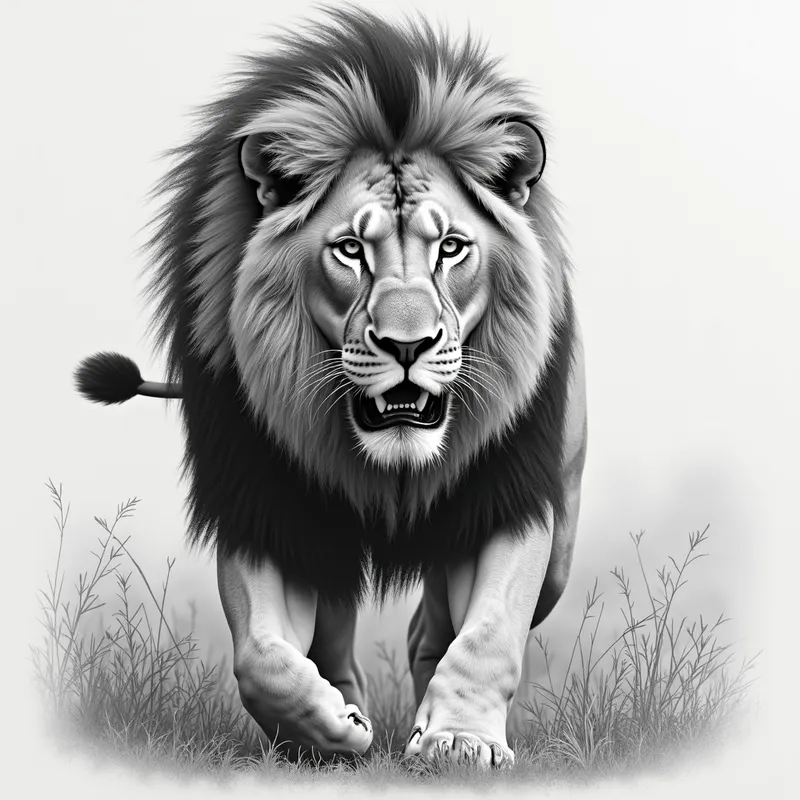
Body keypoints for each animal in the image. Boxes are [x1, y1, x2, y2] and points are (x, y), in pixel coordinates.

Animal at [75, 8, 587, 768]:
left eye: (451, 248)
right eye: (350, 250)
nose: (407, 346)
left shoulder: (505, 494)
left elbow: (491, 633)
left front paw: (460, 741)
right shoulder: (266, 500)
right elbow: (263, 655)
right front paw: (328, 729)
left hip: (557, 542)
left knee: (437, 627)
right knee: (339, 624)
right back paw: (346, 712)